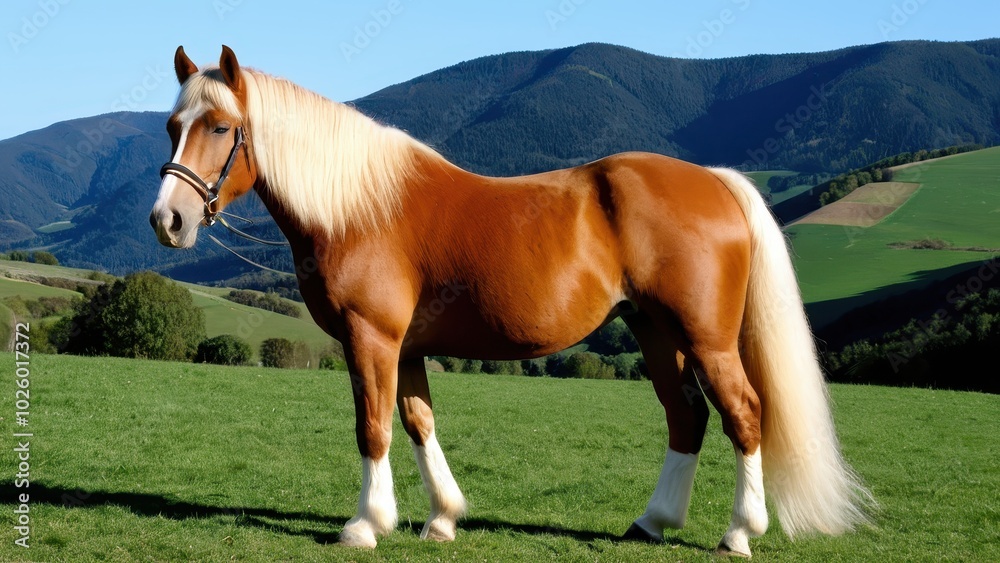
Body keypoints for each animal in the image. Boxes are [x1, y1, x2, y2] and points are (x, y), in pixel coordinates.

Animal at [150, 45, 872, 557]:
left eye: (221, 127)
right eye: (172, 126)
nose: (168, 220)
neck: (360, 207)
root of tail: (716, 183)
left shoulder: (370, 337)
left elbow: (374, 426)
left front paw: (364, 524)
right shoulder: (407, 348)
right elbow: (418, 422)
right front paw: (442, 517)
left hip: (707, 337)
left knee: (743, 414)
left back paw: (740, 533)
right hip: (654, 331)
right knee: (686, 416)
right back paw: (651, 521)